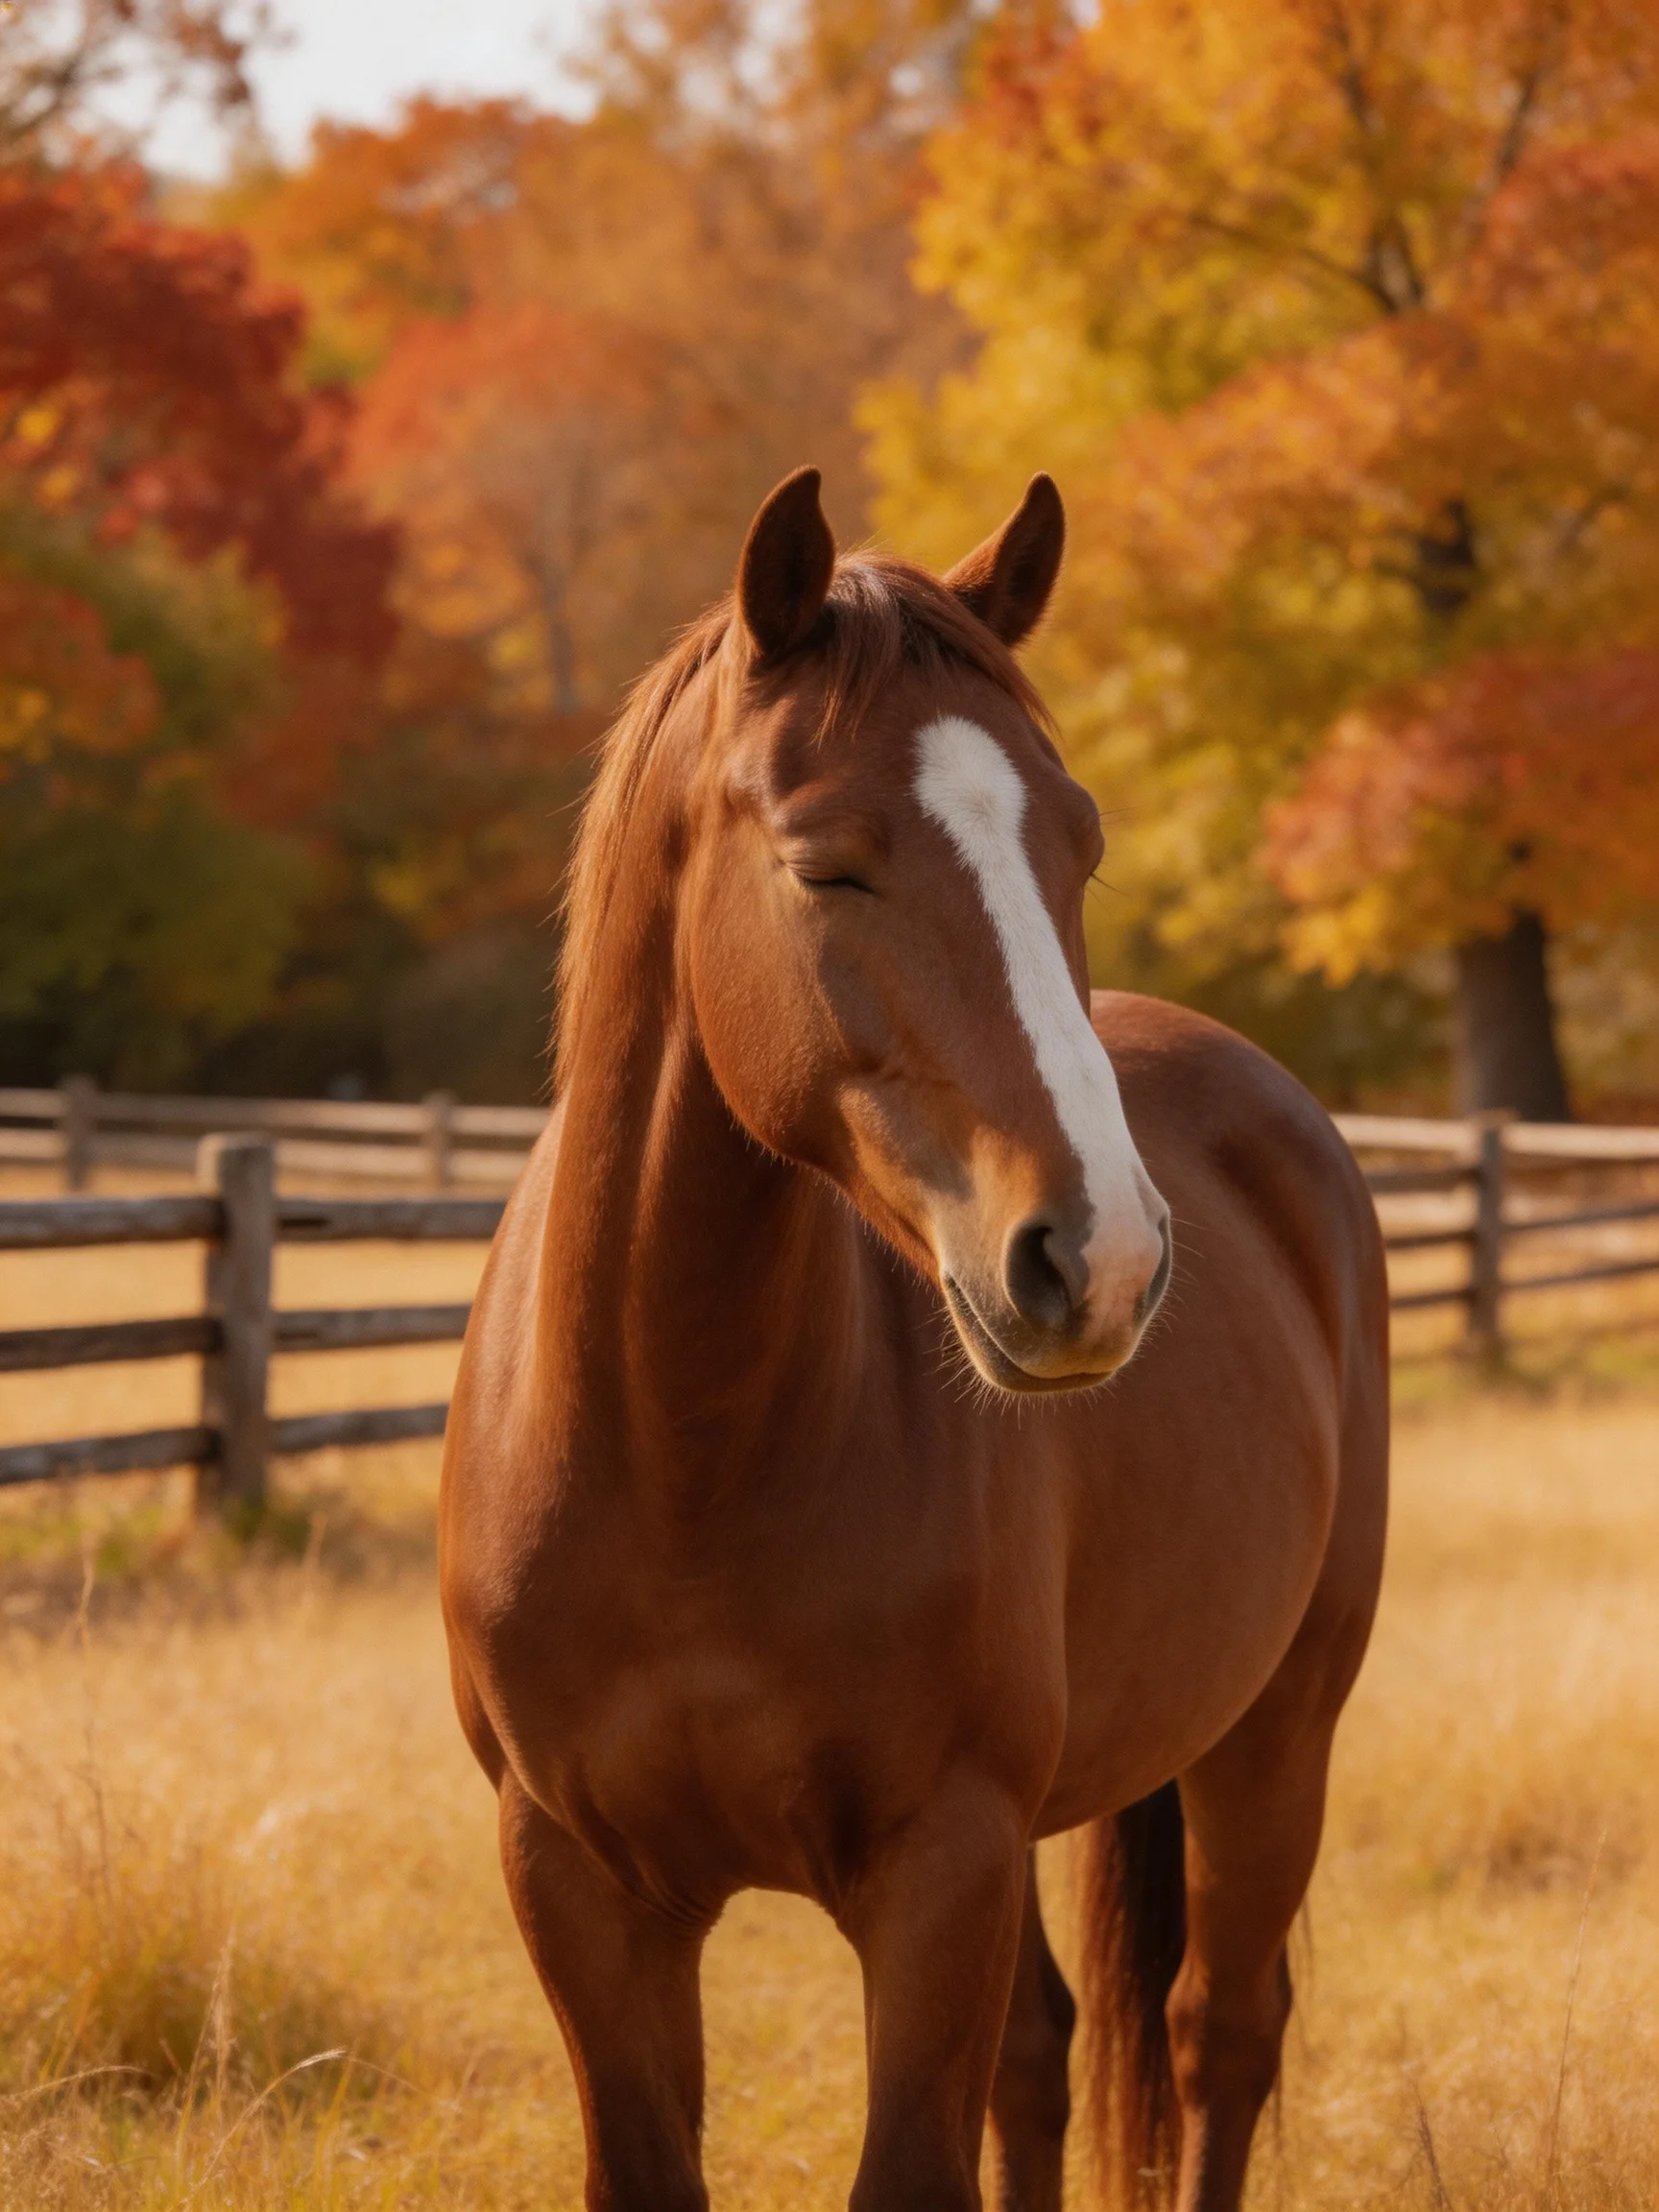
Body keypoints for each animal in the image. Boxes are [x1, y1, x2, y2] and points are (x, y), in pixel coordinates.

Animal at [438, 466, 1389, 2212]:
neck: (679, 1450)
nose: (1100, 1257)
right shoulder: (579, 1887)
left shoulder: (937, 1866)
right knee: (1043, 2053)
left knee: (1219, 2031)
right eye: (826, 864)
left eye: (1077, 840)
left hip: (1275, 1732)